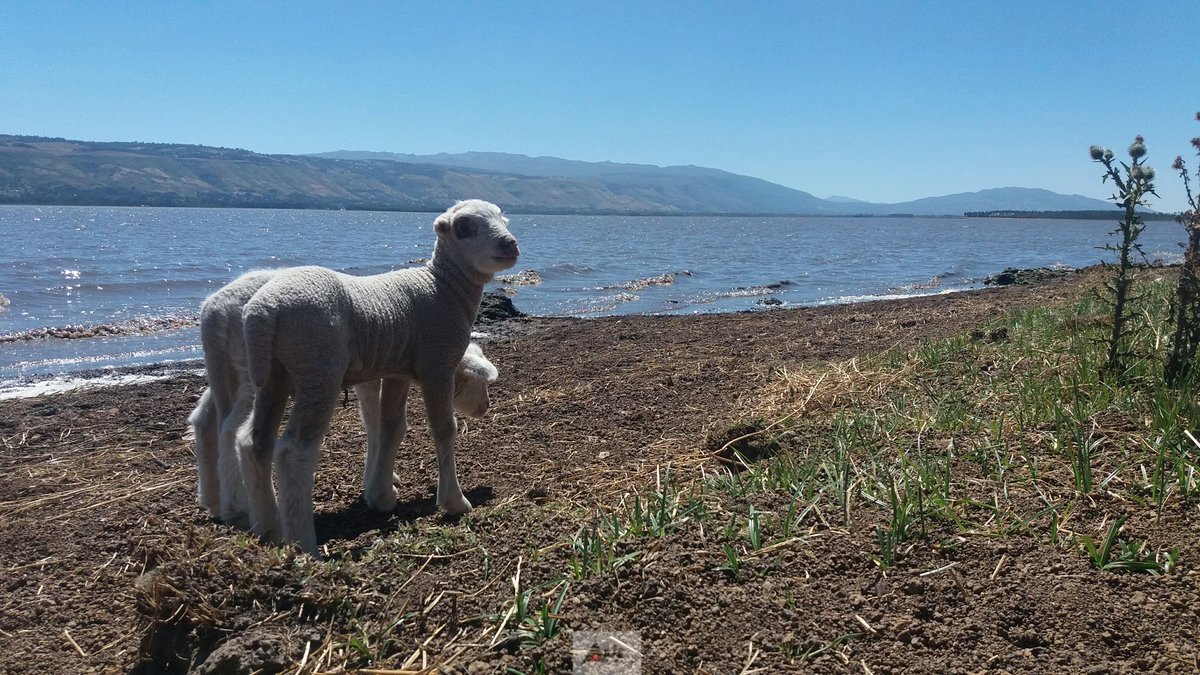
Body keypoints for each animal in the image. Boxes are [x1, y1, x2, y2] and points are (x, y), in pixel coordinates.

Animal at [190, 271, 500, 528]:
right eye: (481, 384)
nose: (486, 408)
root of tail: (214, 309)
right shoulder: (374, 376)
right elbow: (375, 422)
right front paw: (379, 481)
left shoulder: (372, 376)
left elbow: (377, 422)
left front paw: (381, 478)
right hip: (251, 369)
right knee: (231, 428)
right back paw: (239, 507)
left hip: (224, 369)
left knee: (206, 420)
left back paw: (214, 501)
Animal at [236, 200, 519, 553]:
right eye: (465, 227)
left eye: (503, 220)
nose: (511, 244)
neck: (443, 287)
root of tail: (264, 310)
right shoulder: (437, 364)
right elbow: (444, 430)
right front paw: (455, 501)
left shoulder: (398, 371)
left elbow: (391, 428)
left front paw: (381, 496)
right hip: (319, 370)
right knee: (293, 451)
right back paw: (304, 543)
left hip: (273, 377)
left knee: (253, 442)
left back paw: (267, 528)